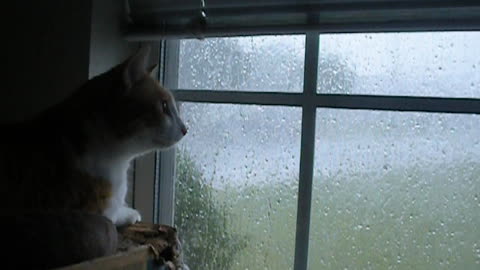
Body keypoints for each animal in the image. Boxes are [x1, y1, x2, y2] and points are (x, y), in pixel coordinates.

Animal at [0, 45, 187, 227]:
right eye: (164, 106)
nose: (186, 129)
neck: (117, 160)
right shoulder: (91, 214)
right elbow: (112, 215)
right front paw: (127, 213)